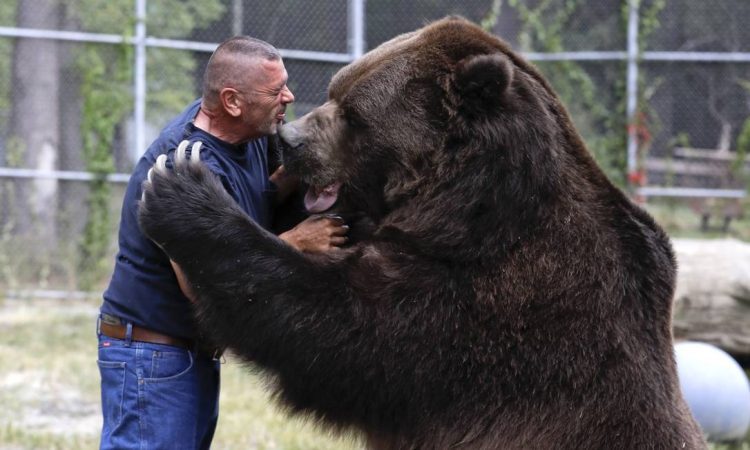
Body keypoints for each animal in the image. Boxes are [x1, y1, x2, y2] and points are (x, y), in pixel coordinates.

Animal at [138, 15, 708, 448]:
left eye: (355, 114)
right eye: (334, 89)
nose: (289, 139)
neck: (469, 207)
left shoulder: (493, 303)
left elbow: (341, 327)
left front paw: (183, 191)